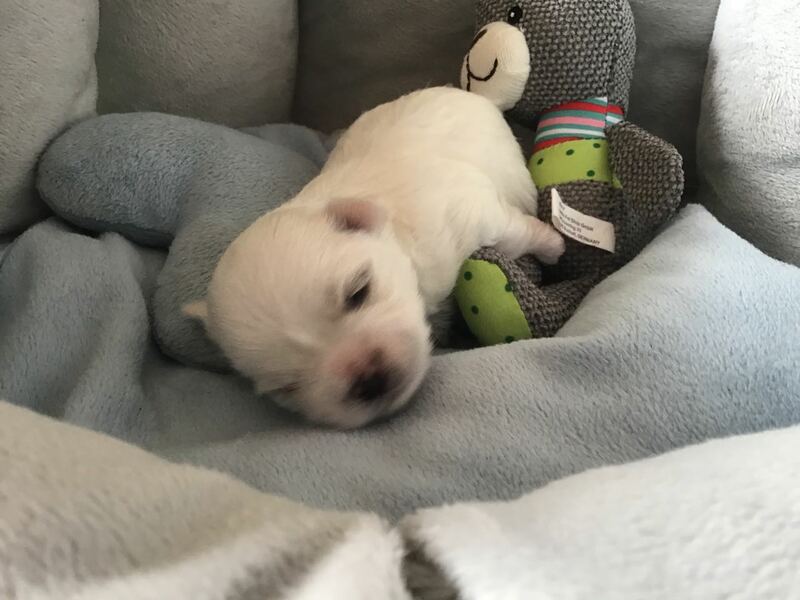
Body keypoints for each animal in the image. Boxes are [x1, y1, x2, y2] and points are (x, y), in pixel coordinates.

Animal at [184, 86, 564, 429]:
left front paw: (554, 246)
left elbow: (516, 233)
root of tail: (472, 94)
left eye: (358, 293)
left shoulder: (474, 213)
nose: (367, 380)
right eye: (288, 386)